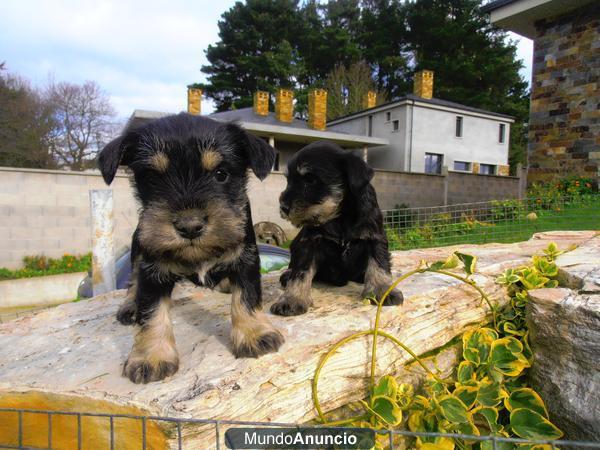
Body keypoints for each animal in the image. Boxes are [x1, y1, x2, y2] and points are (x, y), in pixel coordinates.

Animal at [98, 112, 284, 384]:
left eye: (221, 174)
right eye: (153, 178)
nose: (190, 226)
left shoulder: (246, 258)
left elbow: (247, 297)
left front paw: (254, 333)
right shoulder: (152, 269)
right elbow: (151, 310)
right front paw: (151, 357)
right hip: (138, 251)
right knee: (133, 282)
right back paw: (130, 306)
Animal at [272, 142, 404, 316]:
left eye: (310, 179)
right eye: (288, 180)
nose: (283, 207)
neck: (339, 217)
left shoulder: (375, 238)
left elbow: (379, 265)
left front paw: (383, 290)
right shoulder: (308, 243)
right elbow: (300, 272)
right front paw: (292, 299)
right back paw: (287, 275)